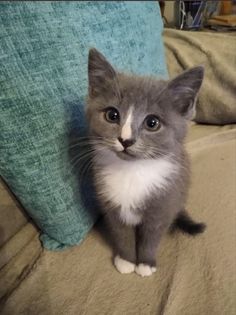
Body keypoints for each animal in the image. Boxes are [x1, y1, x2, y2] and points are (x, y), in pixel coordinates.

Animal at [85, 48, 206, 278]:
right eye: (112, 115)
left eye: (152, 123)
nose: (125, 140)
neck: (132, 171)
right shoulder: (112, 206)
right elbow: (122, 234)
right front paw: (125, 260)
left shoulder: (163, 205)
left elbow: (151, 238)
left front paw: (146, 263)